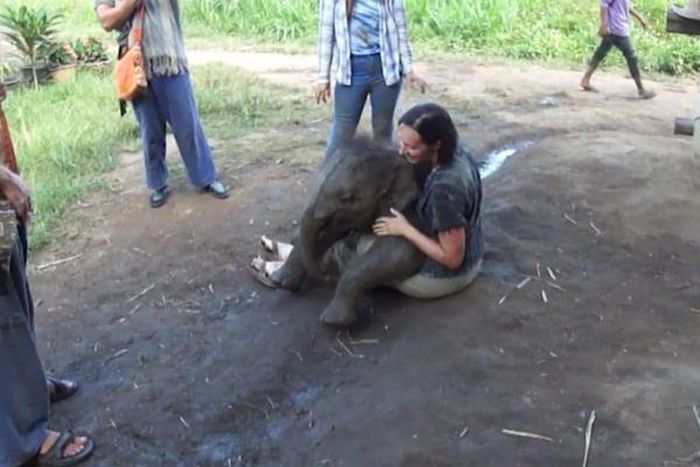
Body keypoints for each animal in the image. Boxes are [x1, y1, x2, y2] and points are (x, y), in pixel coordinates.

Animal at [271, 137, 430, 325]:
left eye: (347, 198)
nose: (326, 275)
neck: (392, 156)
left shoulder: (413, 212)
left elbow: (399, 251)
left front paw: (334, 321)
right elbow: (330, 234)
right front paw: (279, 281)